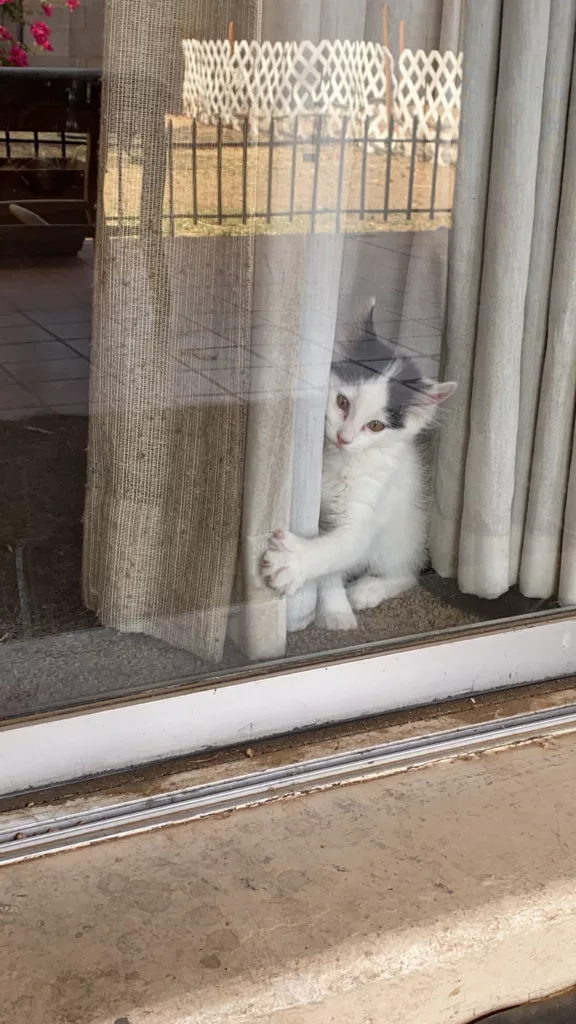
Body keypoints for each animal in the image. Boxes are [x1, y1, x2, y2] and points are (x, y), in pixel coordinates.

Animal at [259, 299, 453, 626]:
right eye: (342, 403)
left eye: (375, 426)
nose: (344, 437)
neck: (341, 462)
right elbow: (331, 571)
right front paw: (333, 609)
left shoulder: (366, 509)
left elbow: (335, 550)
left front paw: (296, 563)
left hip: (401, 535)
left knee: (407, 574)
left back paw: (369, 589)